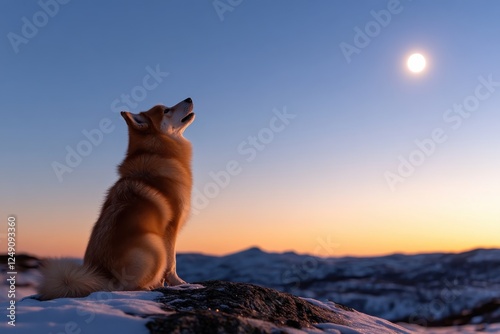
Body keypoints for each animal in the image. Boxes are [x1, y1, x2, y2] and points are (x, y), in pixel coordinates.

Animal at [38, 97, 194, 300]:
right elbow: (171, 263)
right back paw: (148, 287)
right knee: (129, 287)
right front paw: (179, 283)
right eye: (166, 110)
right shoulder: (169, 229)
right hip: (153, 243)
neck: (159, 152)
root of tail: (103, 279)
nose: (189, 98)